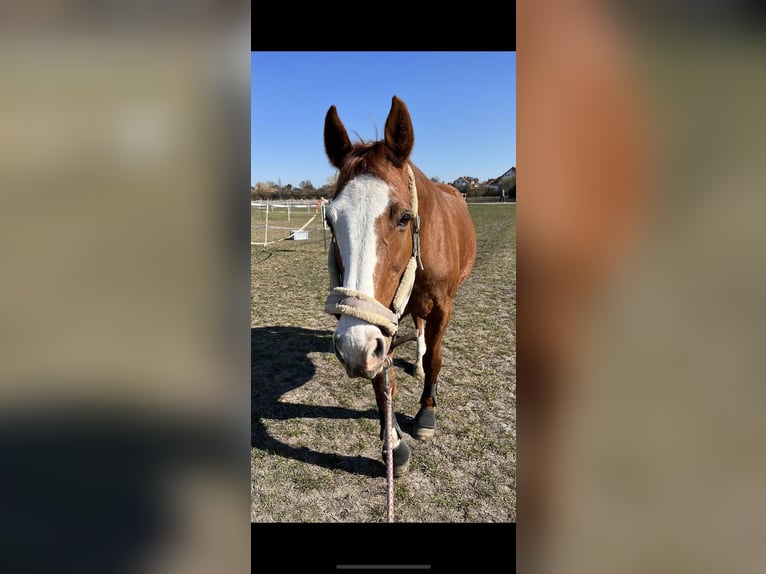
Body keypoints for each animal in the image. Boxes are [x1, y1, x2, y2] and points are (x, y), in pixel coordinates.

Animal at [322, 97, 476, 480]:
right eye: (330, 219)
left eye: (404, 217)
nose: (352, 345)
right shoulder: (382, 322)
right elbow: (382, 380)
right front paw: (393, 443)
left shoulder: (442, 308)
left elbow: (436, 358)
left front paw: (426, 412)